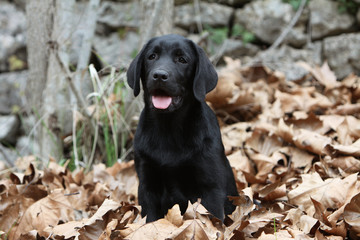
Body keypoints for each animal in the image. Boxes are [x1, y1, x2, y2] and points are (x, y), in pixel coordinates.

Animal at [126, 34, 239, 223]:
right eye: (152, 57)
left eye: (182, 60)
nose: (159, 75)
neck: (169, 127)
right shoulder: (147, 185)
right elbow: (150, 219)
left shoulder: (211, 187)